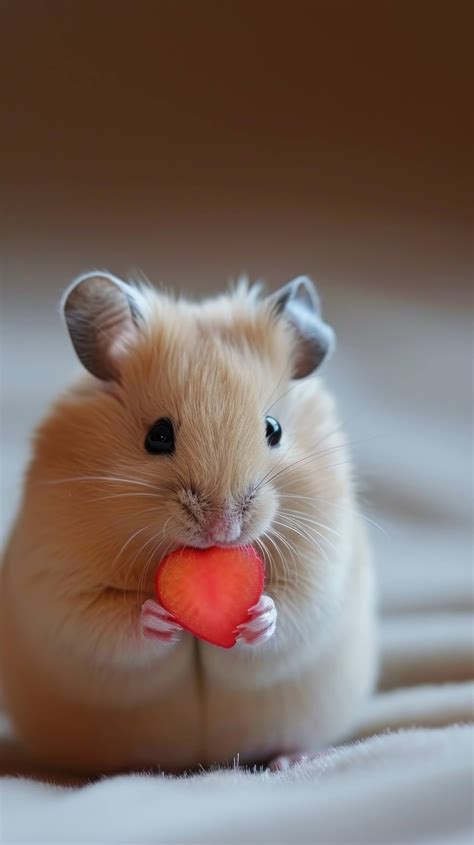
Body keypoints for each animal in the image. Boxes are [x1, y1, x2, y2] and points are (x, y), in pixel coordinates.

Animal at [0, 274, 378, 776]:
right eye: (158, 436)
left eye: (273, 429)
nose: (222, 529)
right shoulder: (60, 585)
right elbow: (107, 622)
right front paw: (161, 618)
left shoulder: (321, 570)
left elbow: (290, 612)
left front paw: (257, 616)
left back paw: (290, 760)